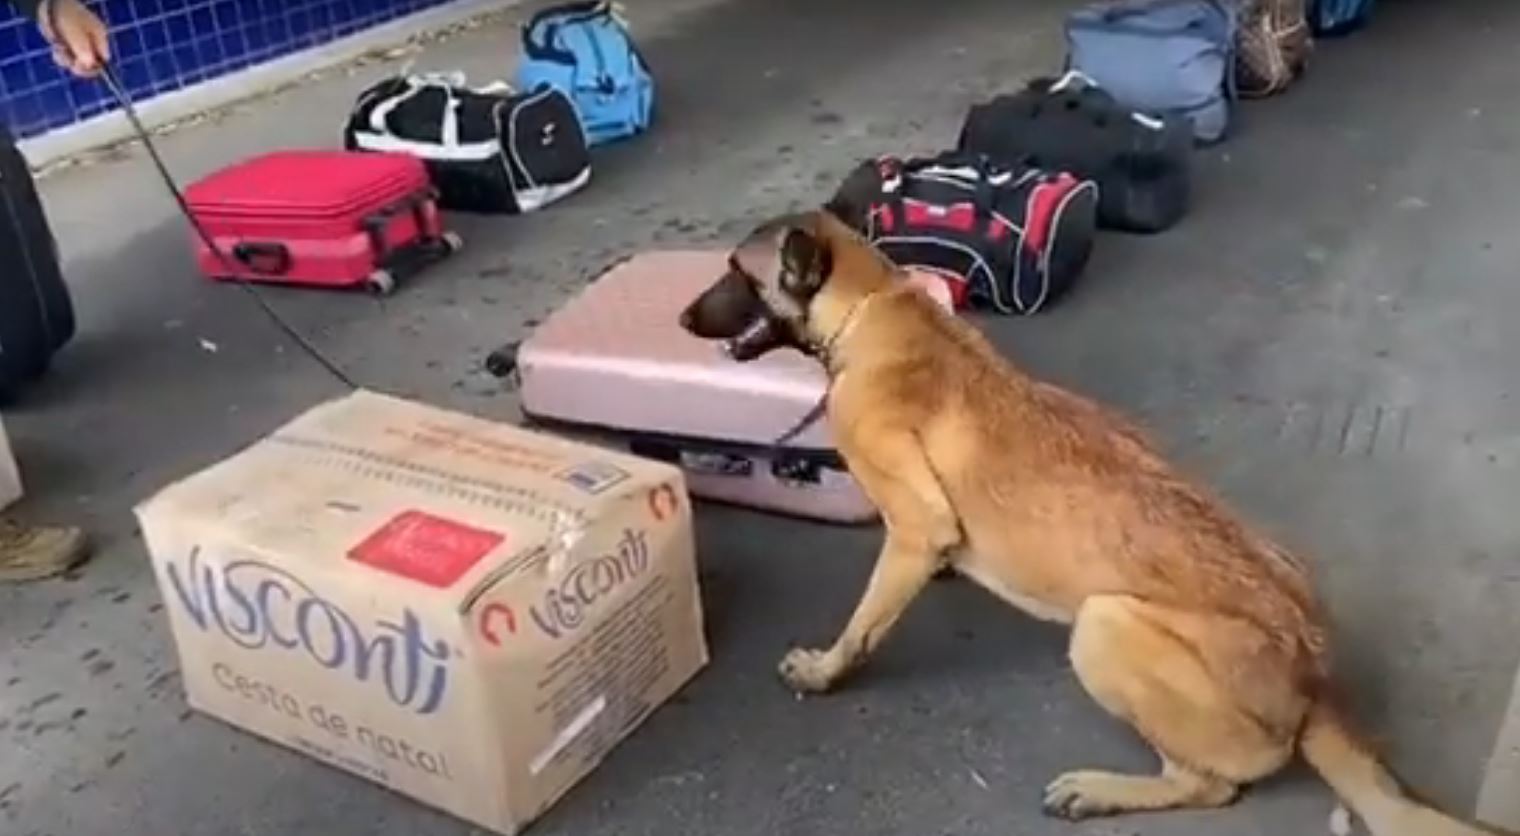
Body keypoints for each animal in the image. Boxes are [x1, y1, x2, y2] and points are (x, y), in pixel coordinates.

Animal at [684, 208, 1513, 836]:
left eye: (734, 273)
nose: (684, 315)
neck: (873, 304)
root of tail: (1313, 678)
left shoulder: (915, 524)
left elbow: (863, 623)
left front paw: (825, 671)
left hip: (1104, 626)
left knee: (1213, 784)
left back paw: (1106, 790)